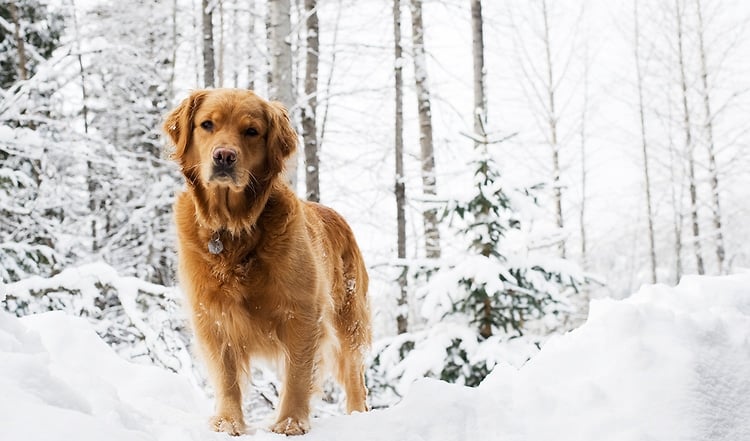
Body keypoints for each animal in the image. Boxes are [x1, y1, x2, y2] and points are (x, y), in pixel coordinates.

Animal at [167, 87, 374, 434]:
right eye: (207, 124)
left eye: (252, 131)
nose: (224, 156)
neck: (233, 229)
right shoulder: (211, 315)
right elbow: (226, 376)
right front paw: (228, 422)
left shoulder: (303, 312)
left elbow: (298, 374)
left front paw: (290, 422)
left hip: (349, 318)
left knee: (354, 373)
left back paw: (359, 416)